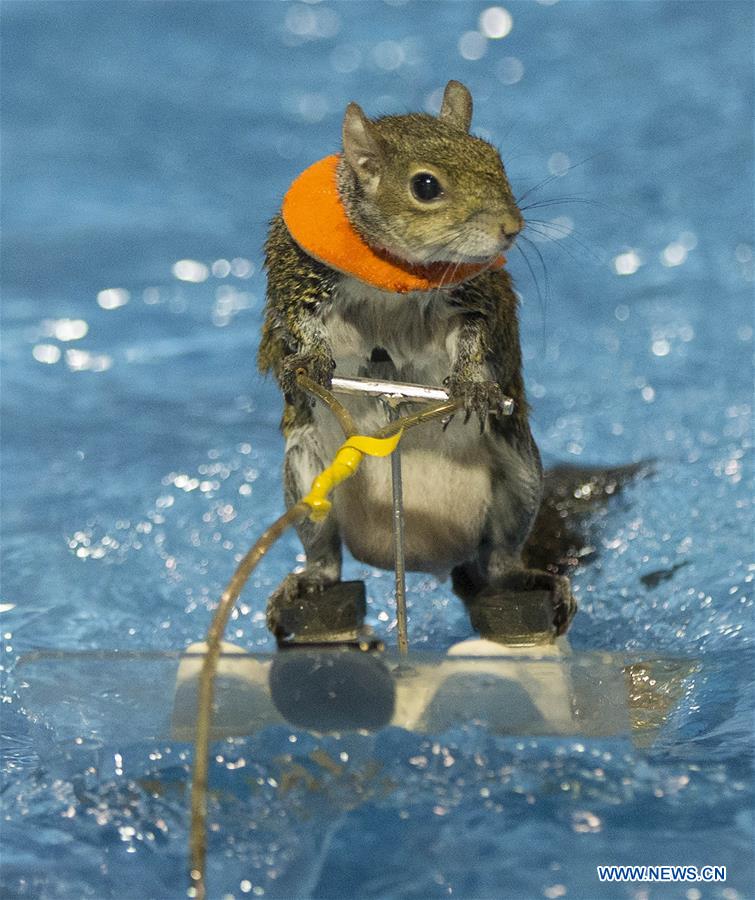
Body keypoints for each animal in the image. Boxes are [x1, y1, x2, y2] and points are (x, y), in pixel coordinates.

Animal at [258, 80, 576, 637]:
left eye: (496, 159)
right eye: (425, 186)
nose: (511, 227)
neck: (397, 273)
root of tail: (429, 556)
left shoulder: (474, 295)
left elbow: (474, 337)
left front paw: (472, 382)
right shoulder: (298, 274)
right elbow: (298, 322)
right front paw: (310, 361)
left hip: (519, 477)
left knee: (500, 559)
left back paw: (531, 580)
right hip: (307, 480)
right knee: (324, 554)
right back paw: (307, 581)